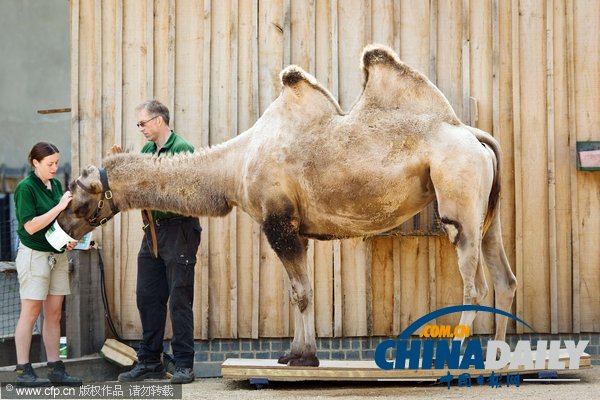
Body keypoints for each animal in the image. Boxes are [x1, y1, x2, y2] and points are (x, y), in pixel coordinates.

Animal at [55, 43, 516, 366]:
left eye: (78, 201)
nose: (62, 230)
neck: (234, 166)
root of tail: (474, 135)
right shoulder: (298, 229)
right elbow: (302, 291)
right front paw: (295, 353)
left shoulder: (278, 222)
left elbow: (301, 292)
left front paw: (302, 357)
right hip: (487, 215)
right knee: (505, 277)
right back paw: (497, 357)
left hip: (458, 200)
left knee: (474, 281)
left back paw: (459, 356)